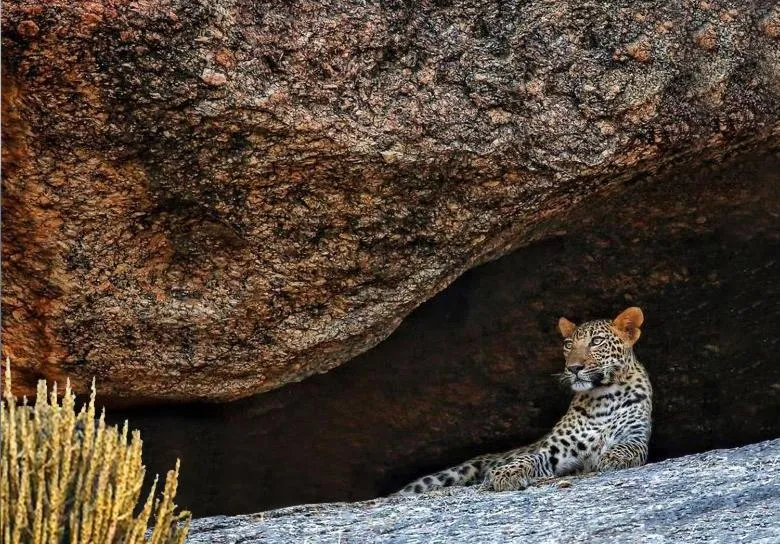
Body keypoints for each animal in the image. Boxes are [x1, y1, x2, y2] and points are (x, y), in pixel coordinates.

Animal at [396, 306, 652, 494]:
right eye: (568, 345)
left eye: (596, 341)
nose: (573, 368)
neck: (604, 396)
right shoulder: (554, 451)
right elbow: (529, 457)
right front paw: (505, 473)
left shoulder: (636, 436)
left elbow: (627, 446)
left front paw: (613, 456)